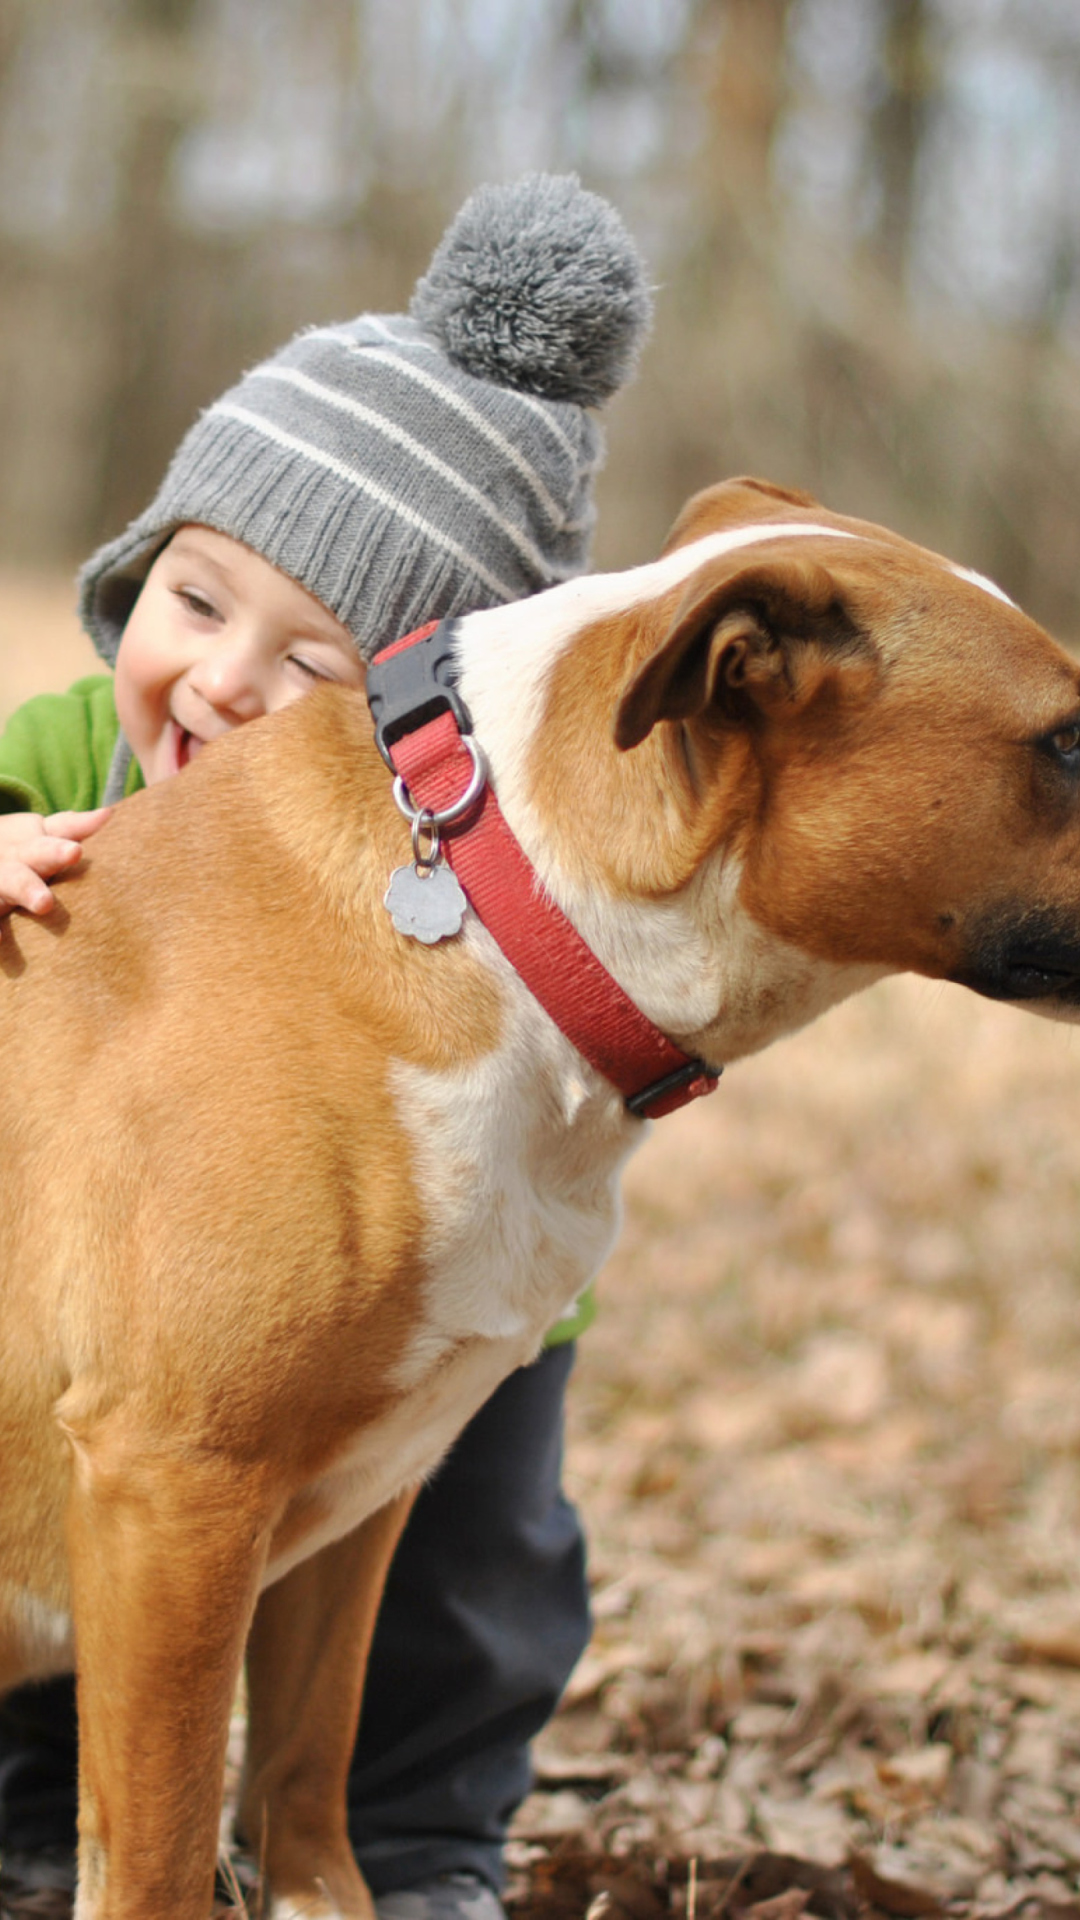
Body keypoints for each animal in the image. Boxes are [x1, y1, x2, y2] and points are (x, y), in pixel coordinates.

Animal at [2, 468, 1076, 1920]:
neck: (505, 911)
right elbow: (161, 1852)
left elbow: (305, 1775)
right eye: (1069, 744)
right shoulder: (175, 1487)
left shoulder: (351, 1504)